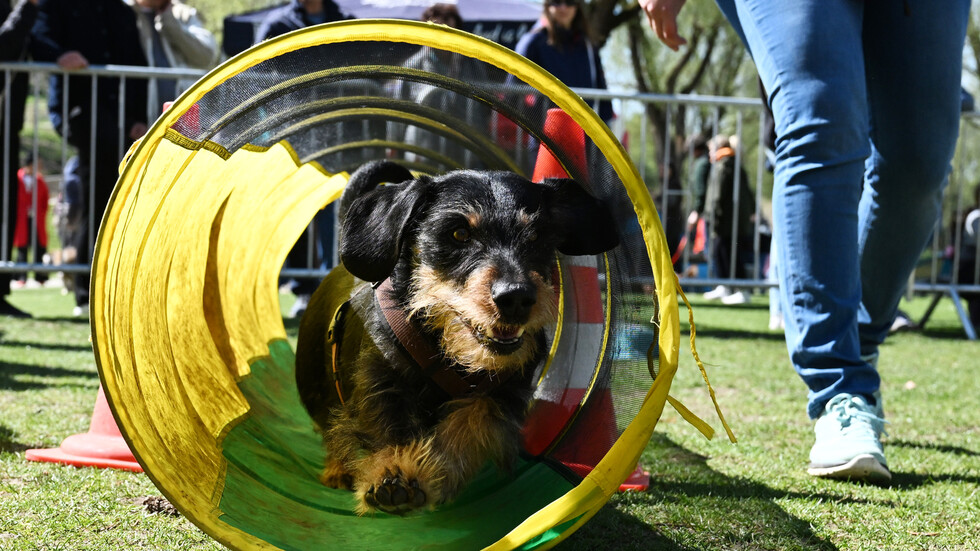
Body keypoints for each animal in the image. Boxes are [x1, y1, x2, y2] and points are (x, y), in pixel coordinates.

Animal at [294, 161, 620, 516]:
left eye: (536, 237)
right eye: (459, 233)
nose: (516, 298)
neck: (447, 353)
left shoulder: (503, 394)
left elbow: (472, 419)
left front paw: (437, 466)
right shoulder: (379, 381)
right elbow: (387, 425)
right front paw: (393, 474)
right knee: (330, 424)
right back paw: (336, 470)